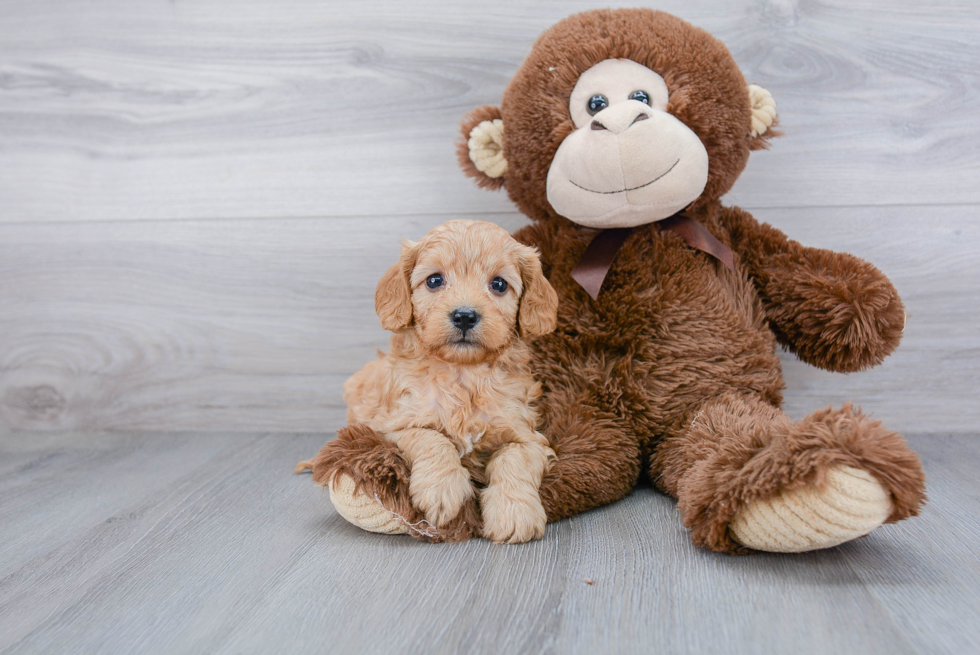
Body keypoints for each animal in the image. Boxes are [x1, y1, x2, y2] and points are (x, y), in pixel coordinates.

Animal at [302, 220, 560, 544]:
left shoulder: (528, 436)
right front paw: (441, 491)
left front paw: (514, 513)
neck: (463, 374)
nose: (465, 316)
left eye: (499, 284)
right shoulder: (392, 427)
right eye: (435, 280)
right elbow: (431, 438)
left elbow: (514, 459)